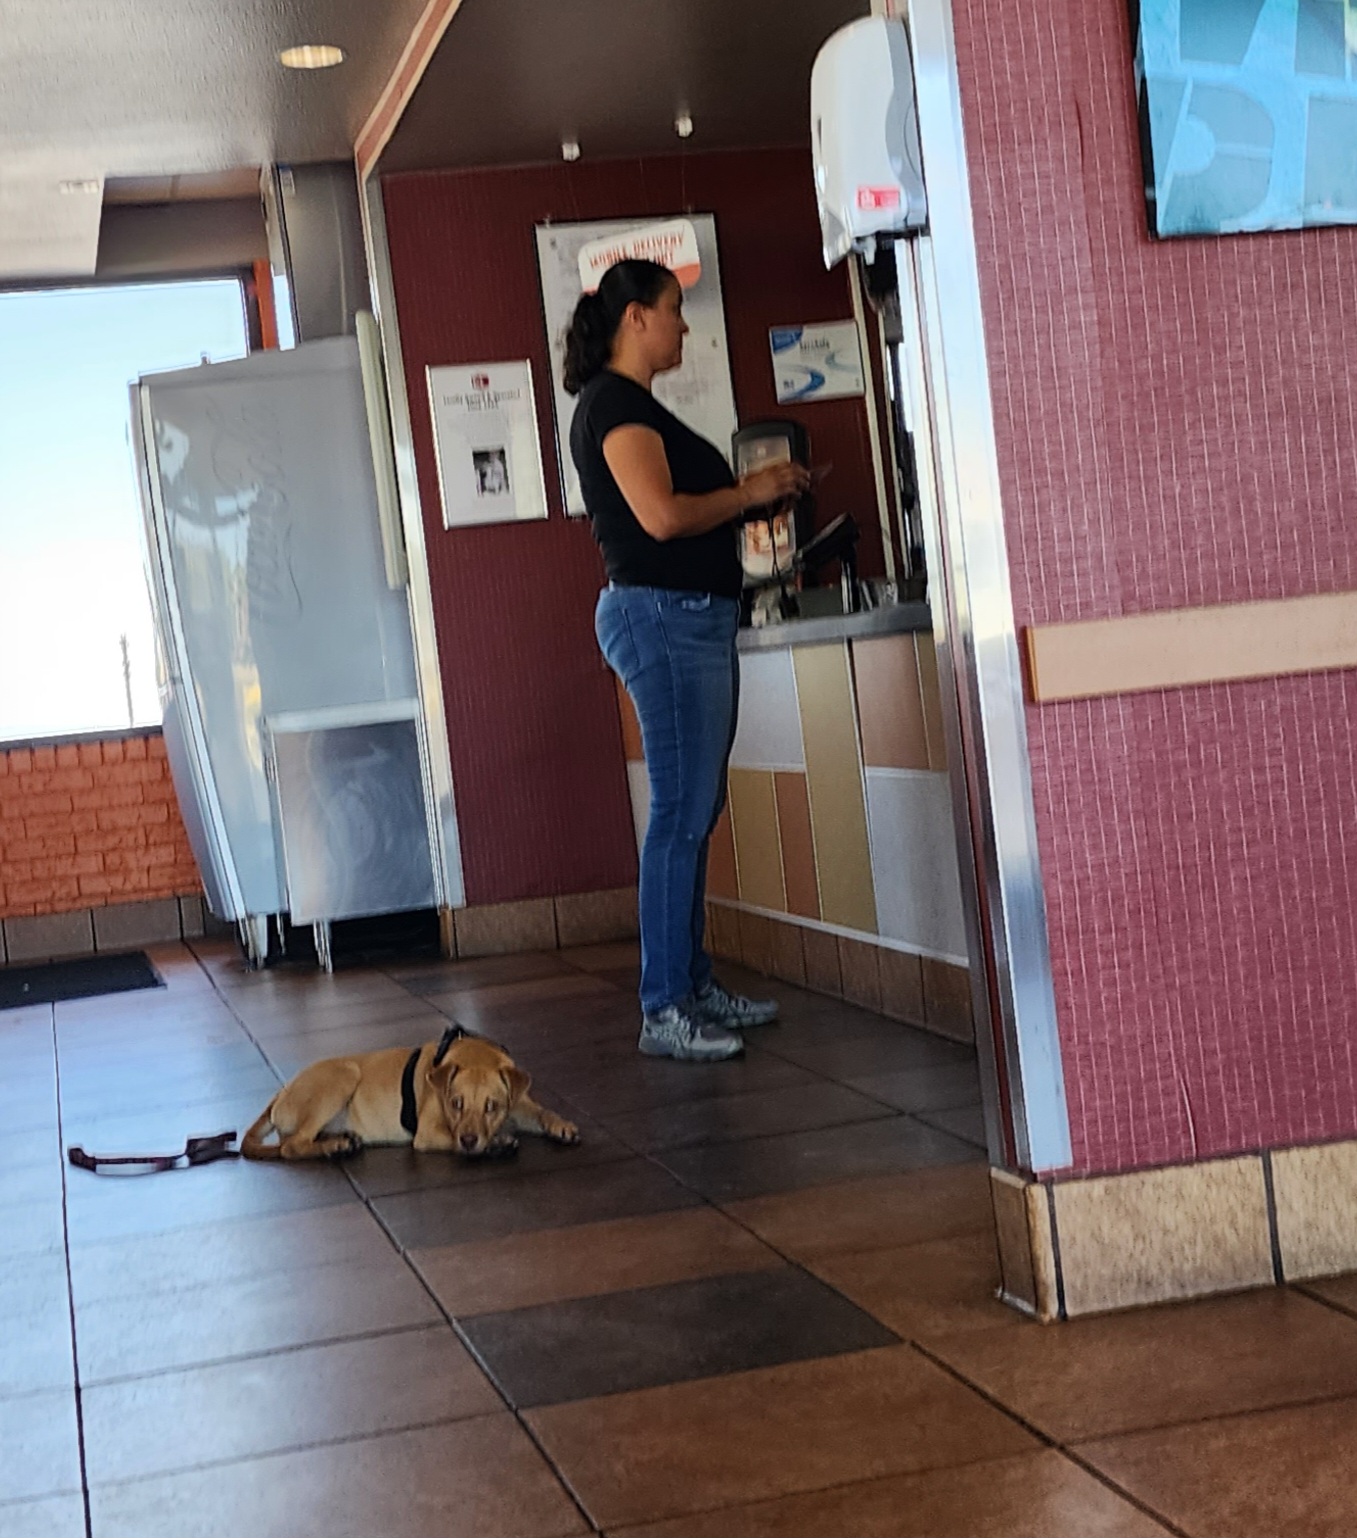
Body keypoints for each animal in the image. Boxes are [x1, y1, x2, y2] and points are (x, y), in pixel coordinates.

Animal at [242, 1026, 579, 1162]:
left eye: (491, 1106)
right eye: (455, 1104)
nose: (470, 1140)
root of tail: (279, 1095)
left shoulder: (519, 1104)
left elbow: (542, 1111)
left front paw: (561, 1125)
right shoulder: (429, 1133)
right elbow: (450, 1140)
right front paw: (496, 1144)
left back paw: (340, 1141)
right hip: (343, 1075)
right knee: (291, 1146)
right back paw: (332, 1147)